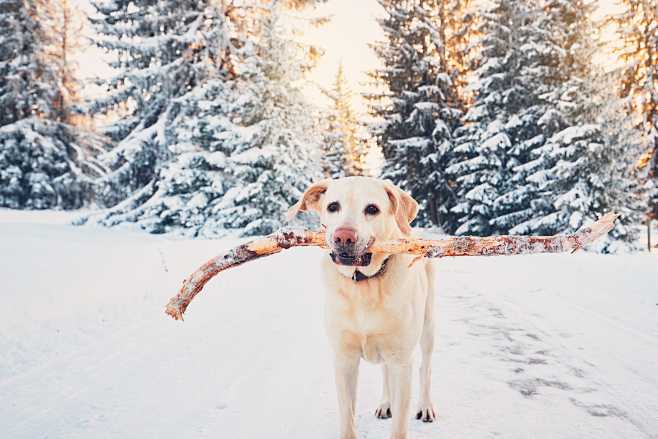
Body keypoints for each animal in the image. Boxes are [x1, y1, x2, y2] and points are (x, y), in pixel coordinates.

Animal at [288, 177, 436, 439]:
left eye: (372, 209)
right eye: (333, 206)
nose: (343, 237)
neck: (364, 285)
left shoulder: (402, 361)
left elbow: (399, 427)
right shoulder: (344, 359)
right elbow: (348, 420)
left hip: (428, 328)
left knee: (425, 368)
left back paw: (425, 407)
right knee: (386, 371)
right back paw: (385, 404)